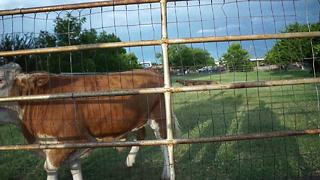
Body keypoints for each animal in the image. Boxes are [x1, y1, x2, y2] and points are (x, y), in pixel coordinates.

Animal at [0, 62, 179, 179]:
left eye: (1, 80)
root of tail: (152, 71)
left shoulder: (66, 144)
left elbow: (50, 169)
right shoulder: (71, 149)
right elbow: (75, 170)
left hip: (160, 118)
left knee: (166, 144)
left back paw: (168, 173)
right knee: (145, 137)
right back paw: (131, 160)